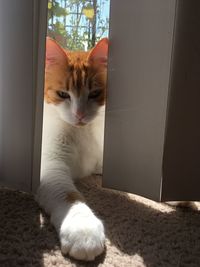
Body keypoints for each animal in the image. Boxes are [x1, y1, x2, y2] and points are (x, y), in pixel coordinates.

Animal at [36, 37, 108, 262]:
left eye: (95, 93)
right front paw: (82, 229)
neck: (81, 132)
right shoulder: (50, 164)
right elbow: (67, 194)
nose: (79, 115)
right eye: (62, 94)